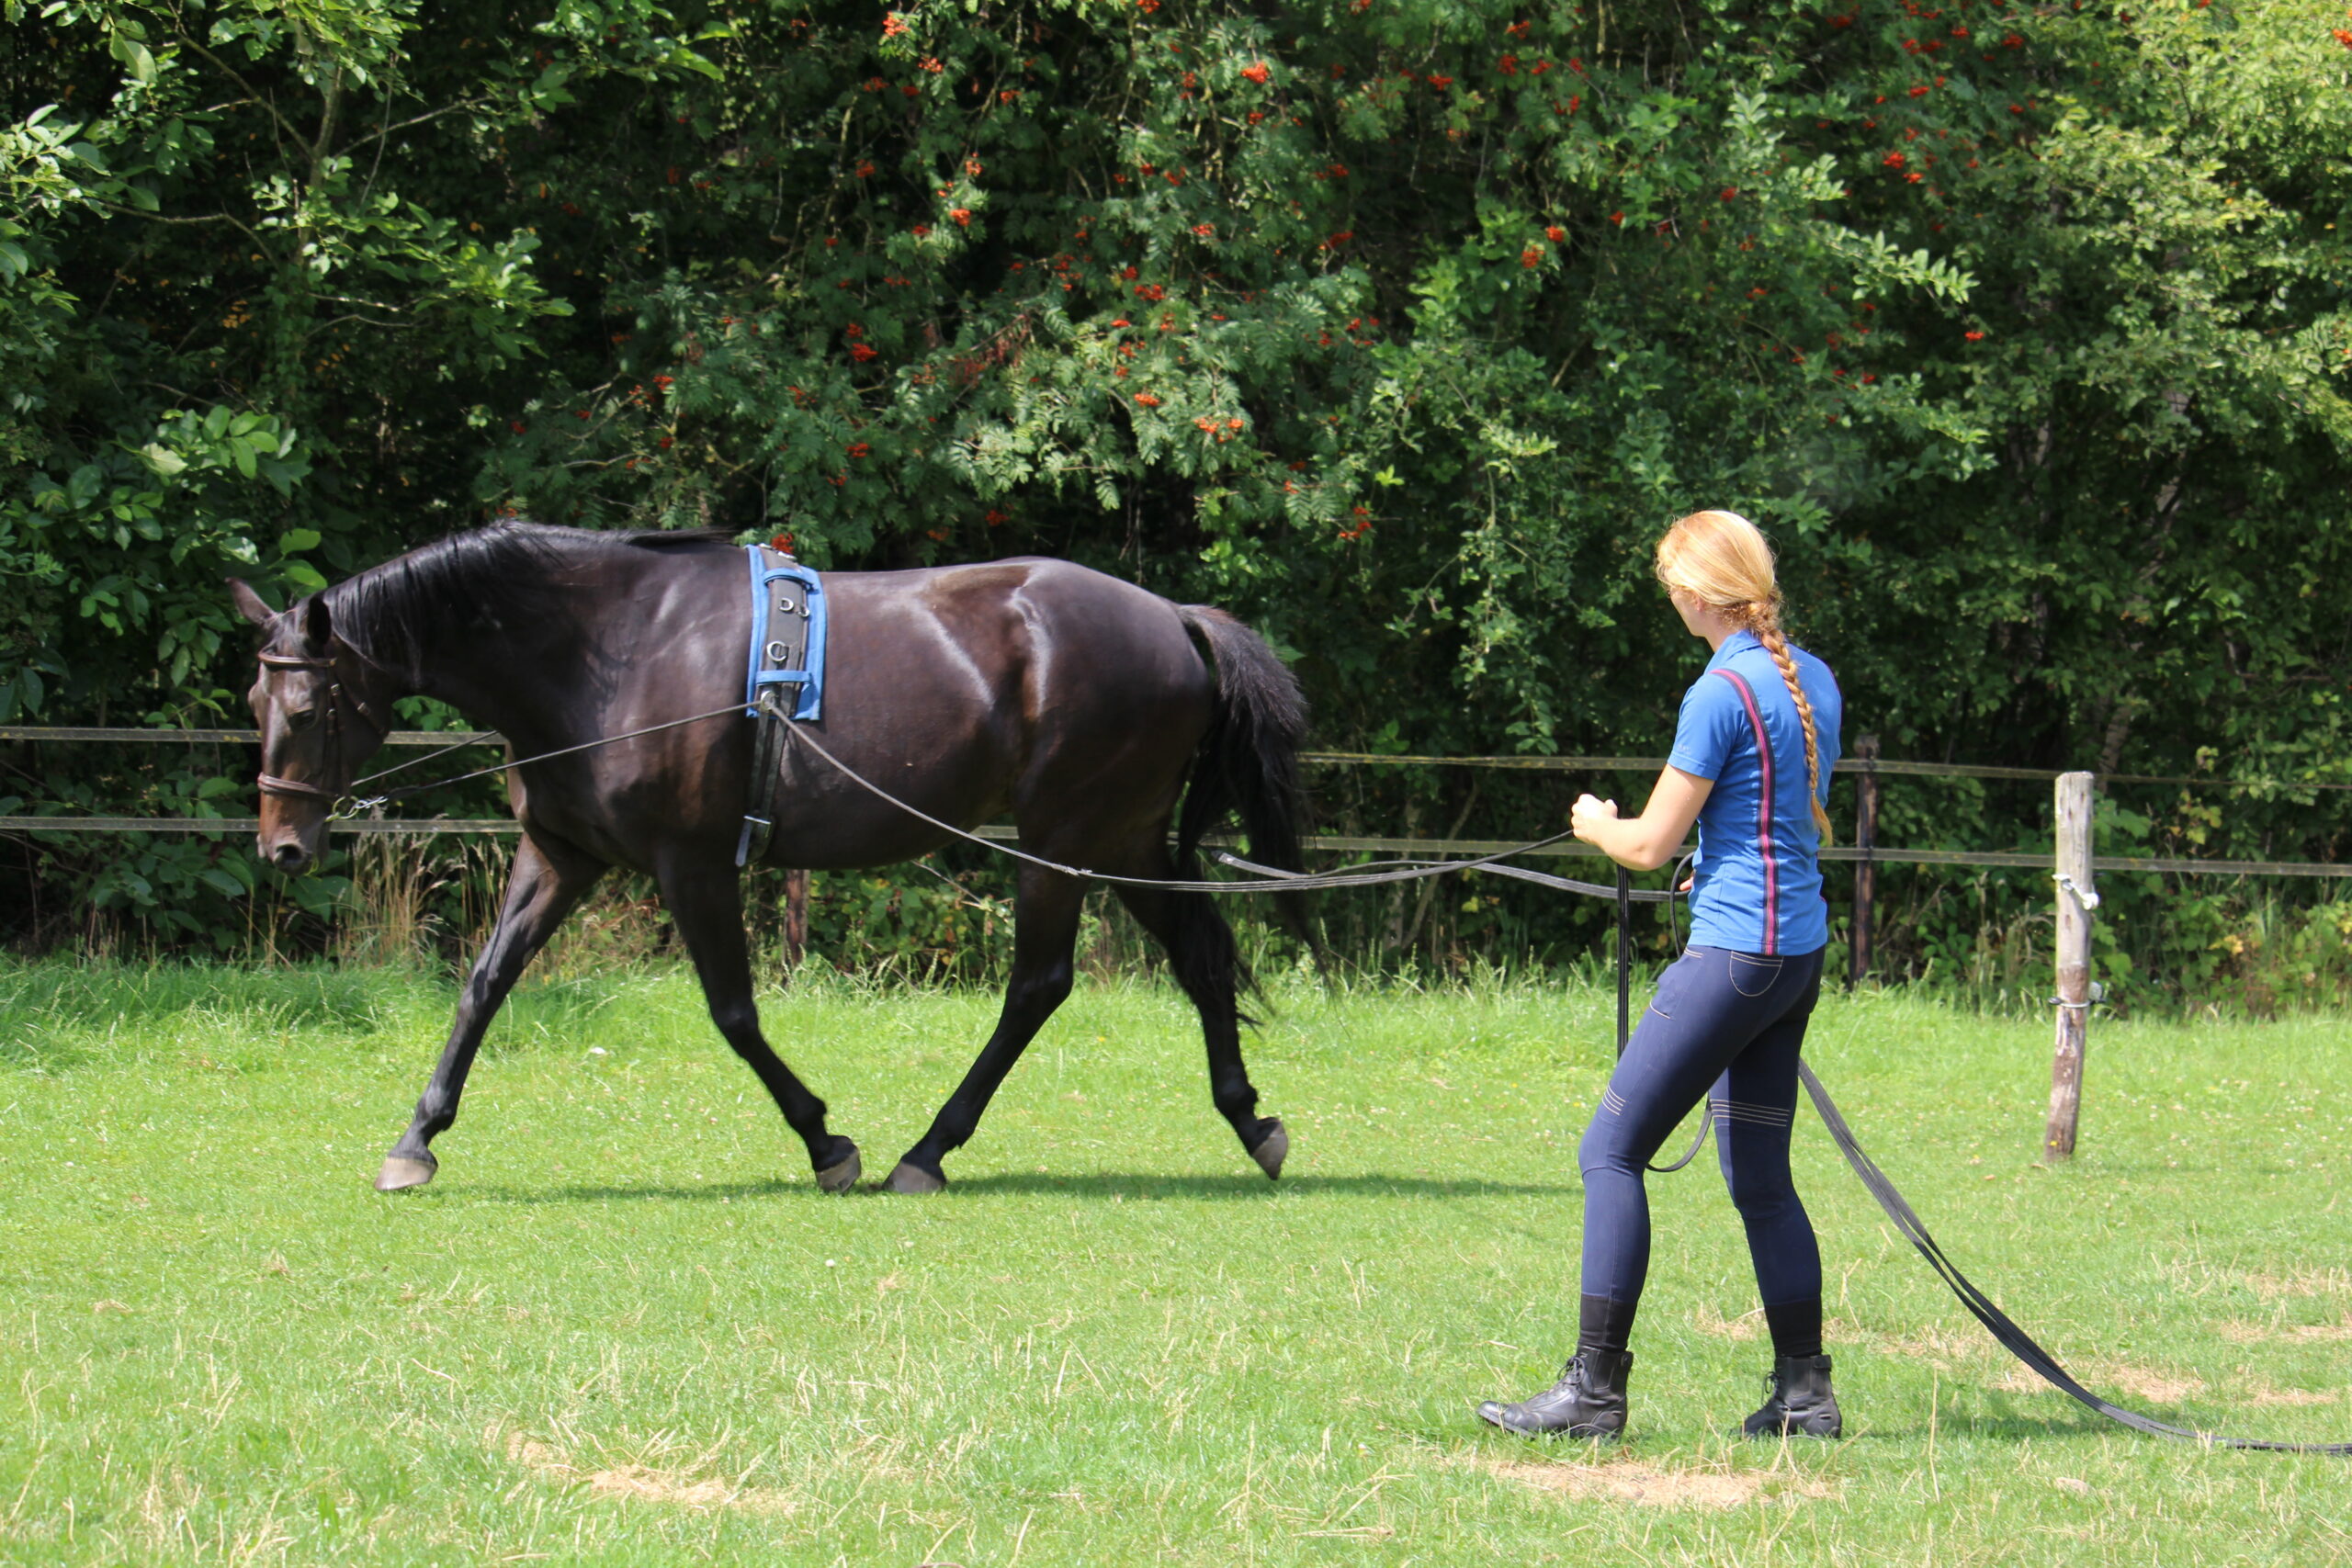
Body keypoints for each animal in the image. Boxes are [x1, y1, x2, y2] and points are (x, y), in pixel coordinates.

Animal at [232, 522, 1307, 1194]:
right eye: (253, 701)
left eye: (308, 708)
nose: (282, 846)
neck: (611, 650)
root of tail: (1174, 618)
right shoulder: (561, 856)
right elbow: (484, 986)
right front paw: (415, 1141)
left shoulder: (693, 864)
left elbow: (735, 1014)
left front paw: (827, 1142)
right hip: (1117, 842)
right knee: (1198, 958)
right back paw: (1251, 1121)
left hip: (1061, 845)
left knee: (1038, 986)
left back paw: (929, 1150)